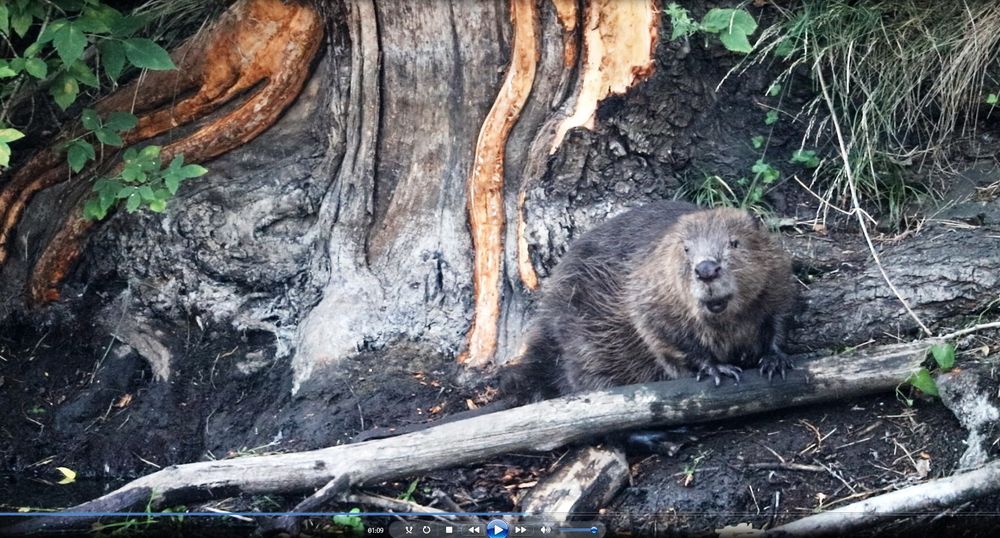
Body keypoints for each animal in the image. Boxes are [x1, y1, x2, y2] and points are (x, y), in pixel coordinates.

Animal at [508, 198, 796, 398]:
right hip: (579, 338)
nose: (706, 270)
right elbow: (664, 337)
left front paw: (774, 361)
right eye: (686, 248)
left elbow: (779, 316)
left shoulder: (778, 276)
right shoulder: (648, 290)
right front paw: (716, 369)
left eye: (734, 242)